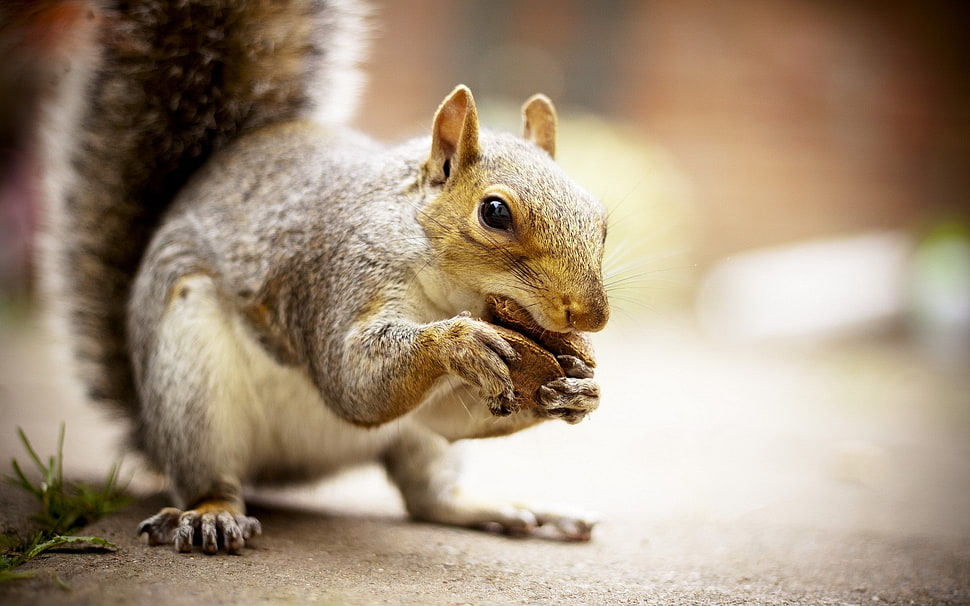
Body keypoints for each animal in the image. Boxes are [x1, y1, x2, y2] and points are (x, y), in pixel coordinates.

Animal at [34, 0, 610, 553]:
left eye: (601, 218)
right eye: (494, 212)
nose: (591, 317)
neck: (446, 294)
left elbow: (449, 417)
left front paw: (576, 388)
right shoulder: (338, 275)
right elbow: (351, 378)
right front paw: (459, 343)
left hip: (410, 442)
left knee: (429, 496)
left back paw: (511, 509)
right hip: (190, 381)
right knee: (211, 476)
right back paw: (212, 514)